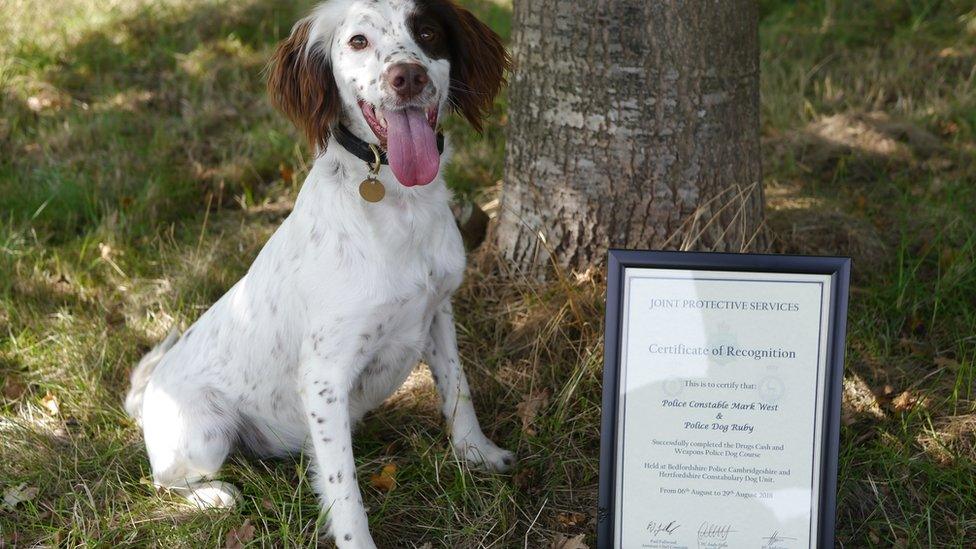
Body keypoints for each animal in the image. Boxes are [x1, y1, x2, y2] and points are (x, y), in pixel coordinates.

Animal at [124, 2, 510, 544]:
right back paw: (214, 496)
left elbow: (459, 388)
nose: (407, 76)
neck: (400, 203)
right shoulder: (324, 379)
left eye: (428, 32)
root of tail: (146, 401)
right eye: (358, 41)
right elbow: (343, 485)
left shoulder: (438, 314)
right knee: (163, 480)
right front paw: (357, 542)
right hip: (205, 432)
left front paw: (477, 453)